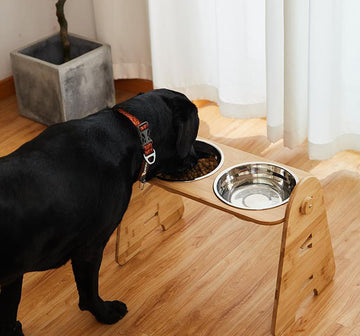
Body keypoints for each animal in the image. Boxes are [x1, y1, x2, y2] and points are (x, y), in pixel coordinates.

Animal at [0, 88, 200, 334]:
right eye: (192, 137)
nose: (195, 158)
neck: (126, 131)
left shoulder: (14, 274)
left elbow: (10, 309)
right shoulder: (90, 248)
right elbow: (89, 292)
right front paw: (106, 313)